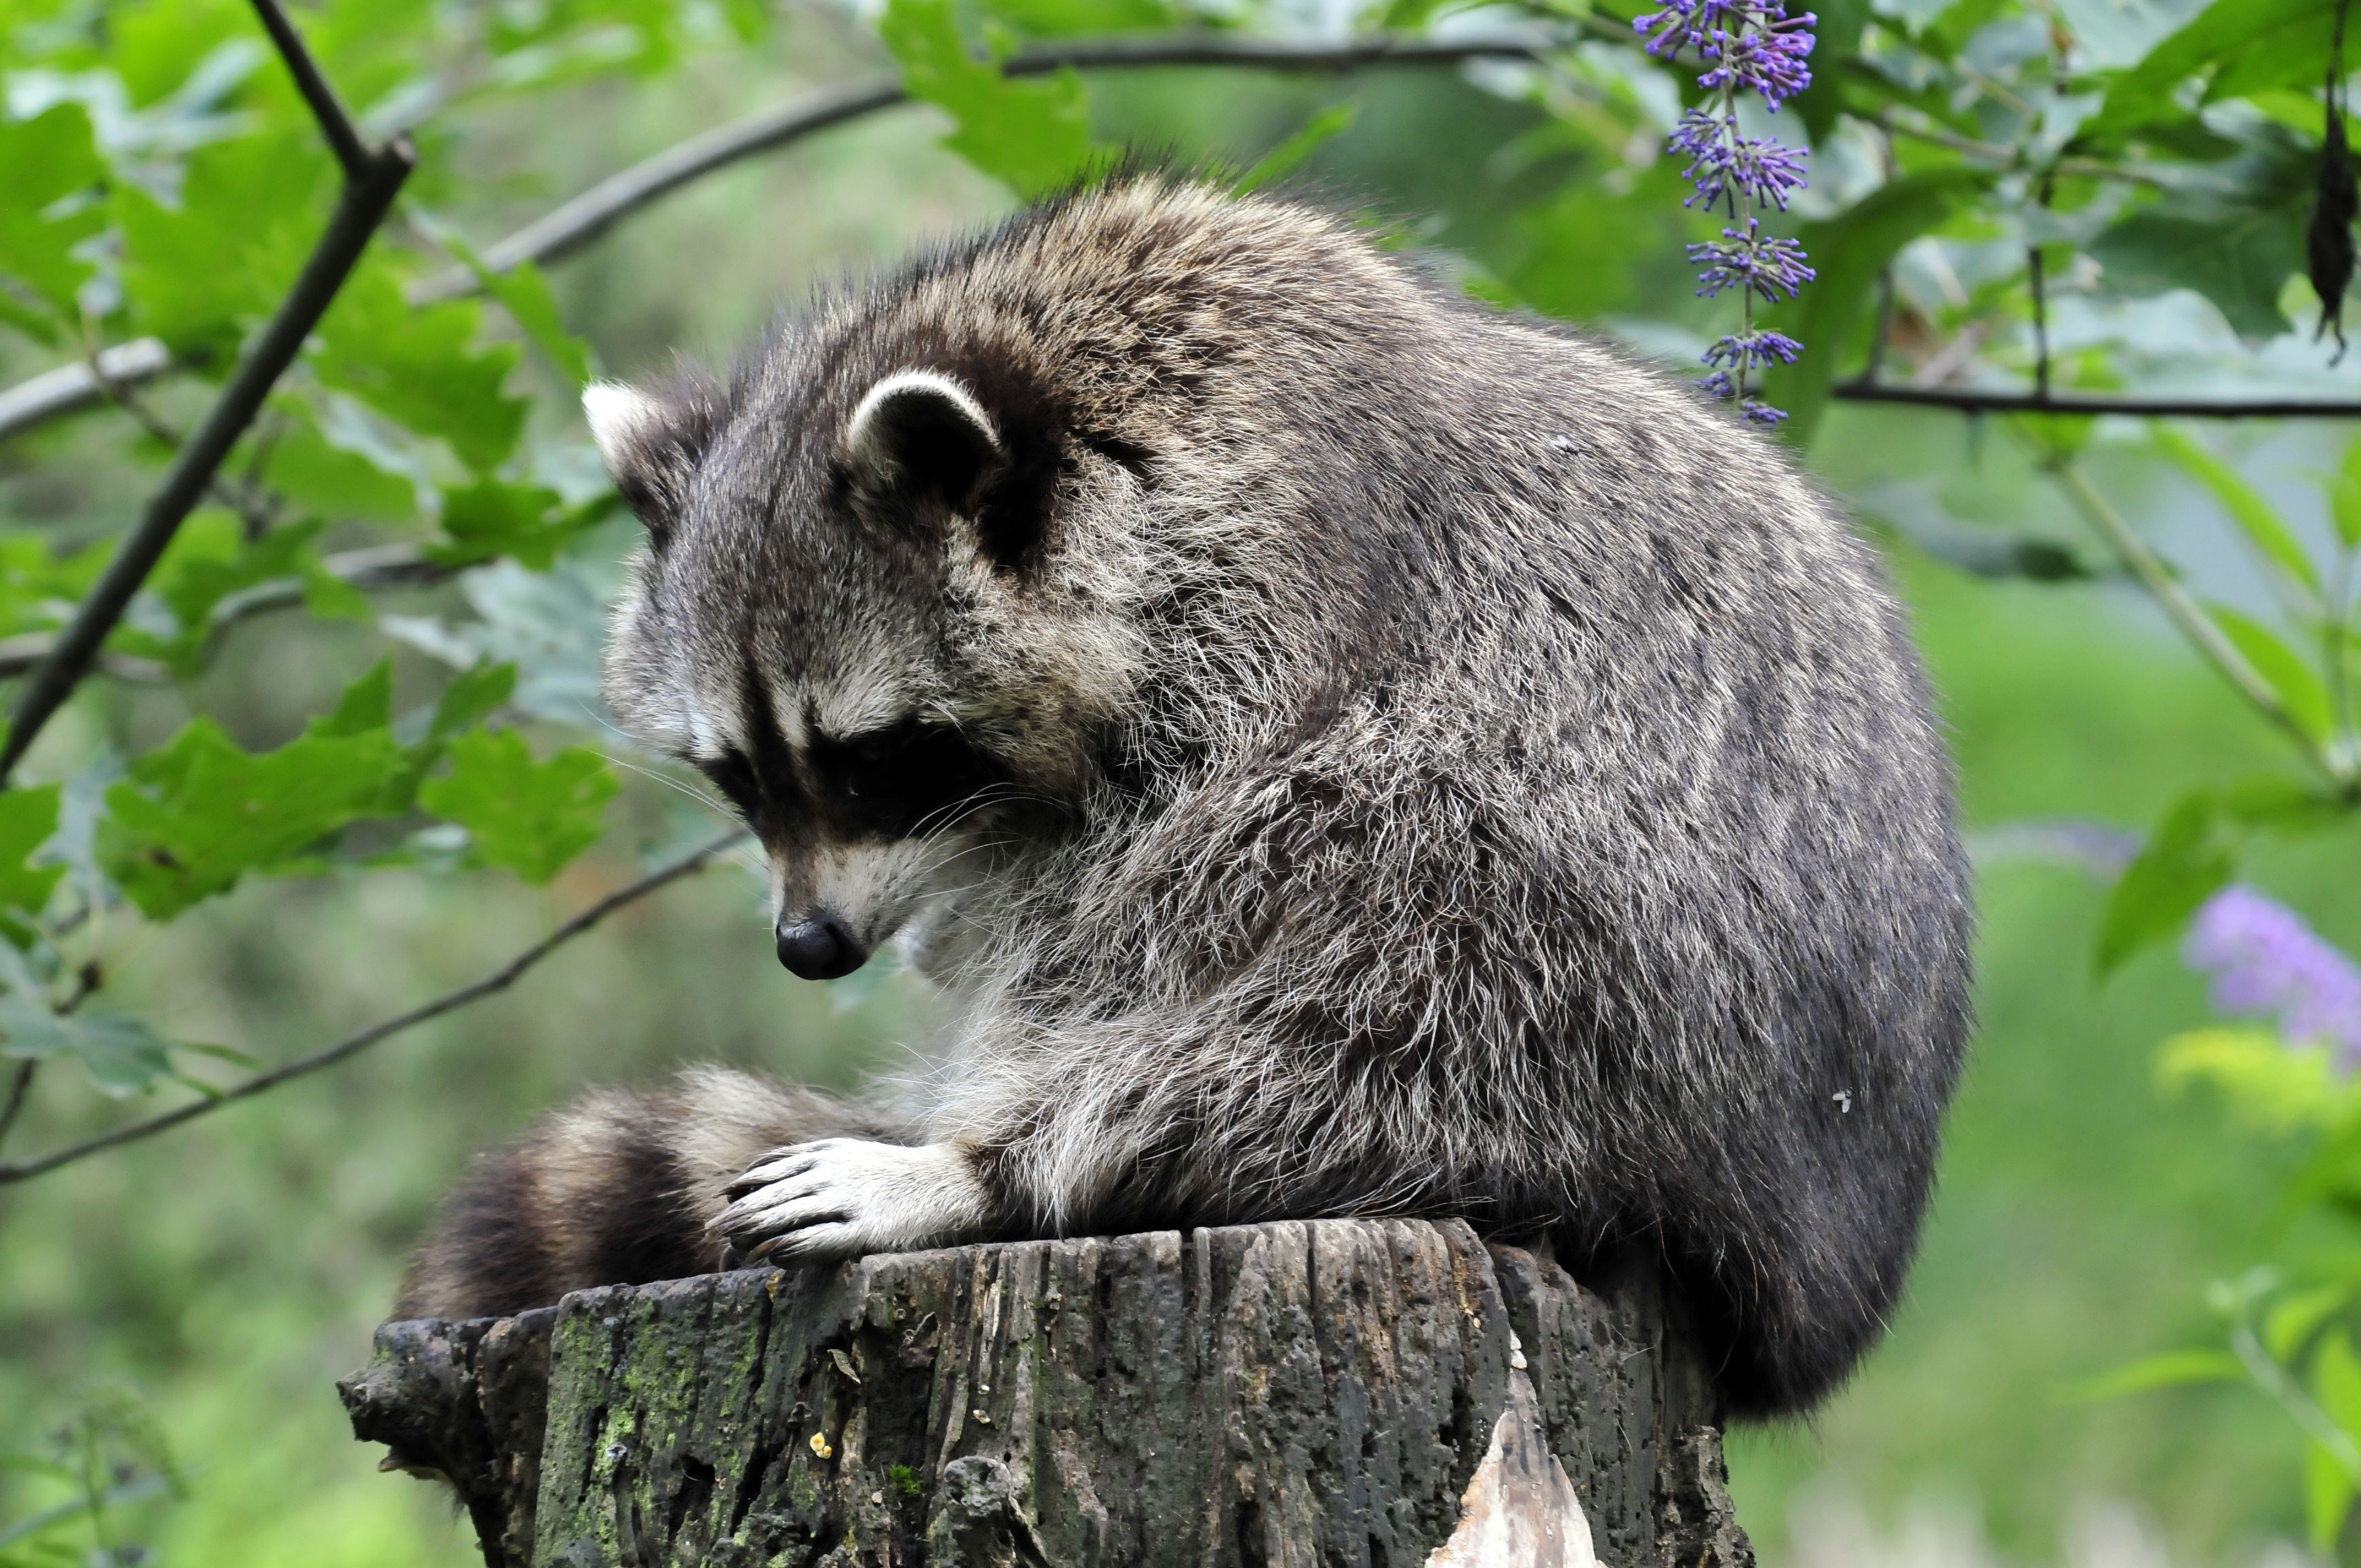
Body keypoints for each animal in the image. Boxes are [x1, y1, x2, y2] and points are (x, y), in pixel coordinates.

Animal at [406, 177, 1973, 1417]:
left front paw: (980, 1151)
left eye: (871, 757)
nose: (807, 945)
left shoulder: (1282, 604)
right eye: (737, 773)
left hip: (1611, 962)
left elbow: (1146, 904)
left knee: (1396, 958)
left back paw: (1008, 1162)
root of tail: (1818, 1280)